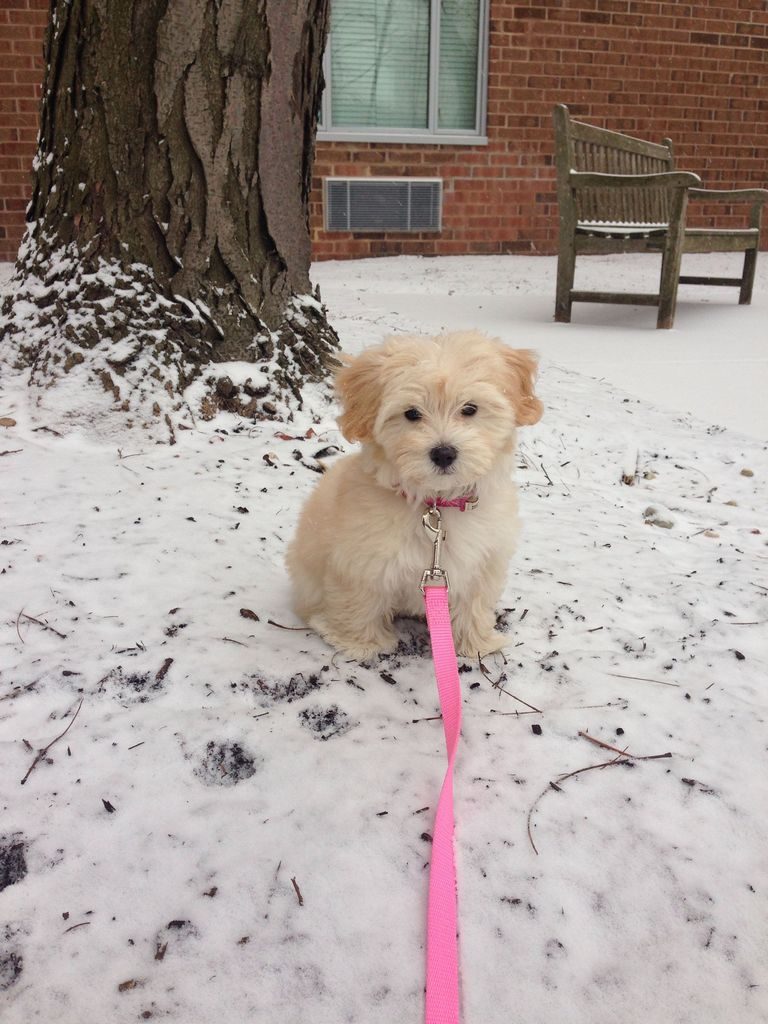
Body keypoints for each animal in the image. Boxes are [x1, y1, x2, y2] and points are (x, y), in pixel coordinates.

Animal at [286, 331, 544, 659]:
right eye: (411, 413)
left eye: (470, 409)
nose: (444, 453)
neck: (437, 503)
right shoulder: (361, 559)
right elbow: (359, 598)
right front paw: (359, 643)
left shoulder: (484, 560)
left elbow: (474, 602)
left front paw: (476, 643)